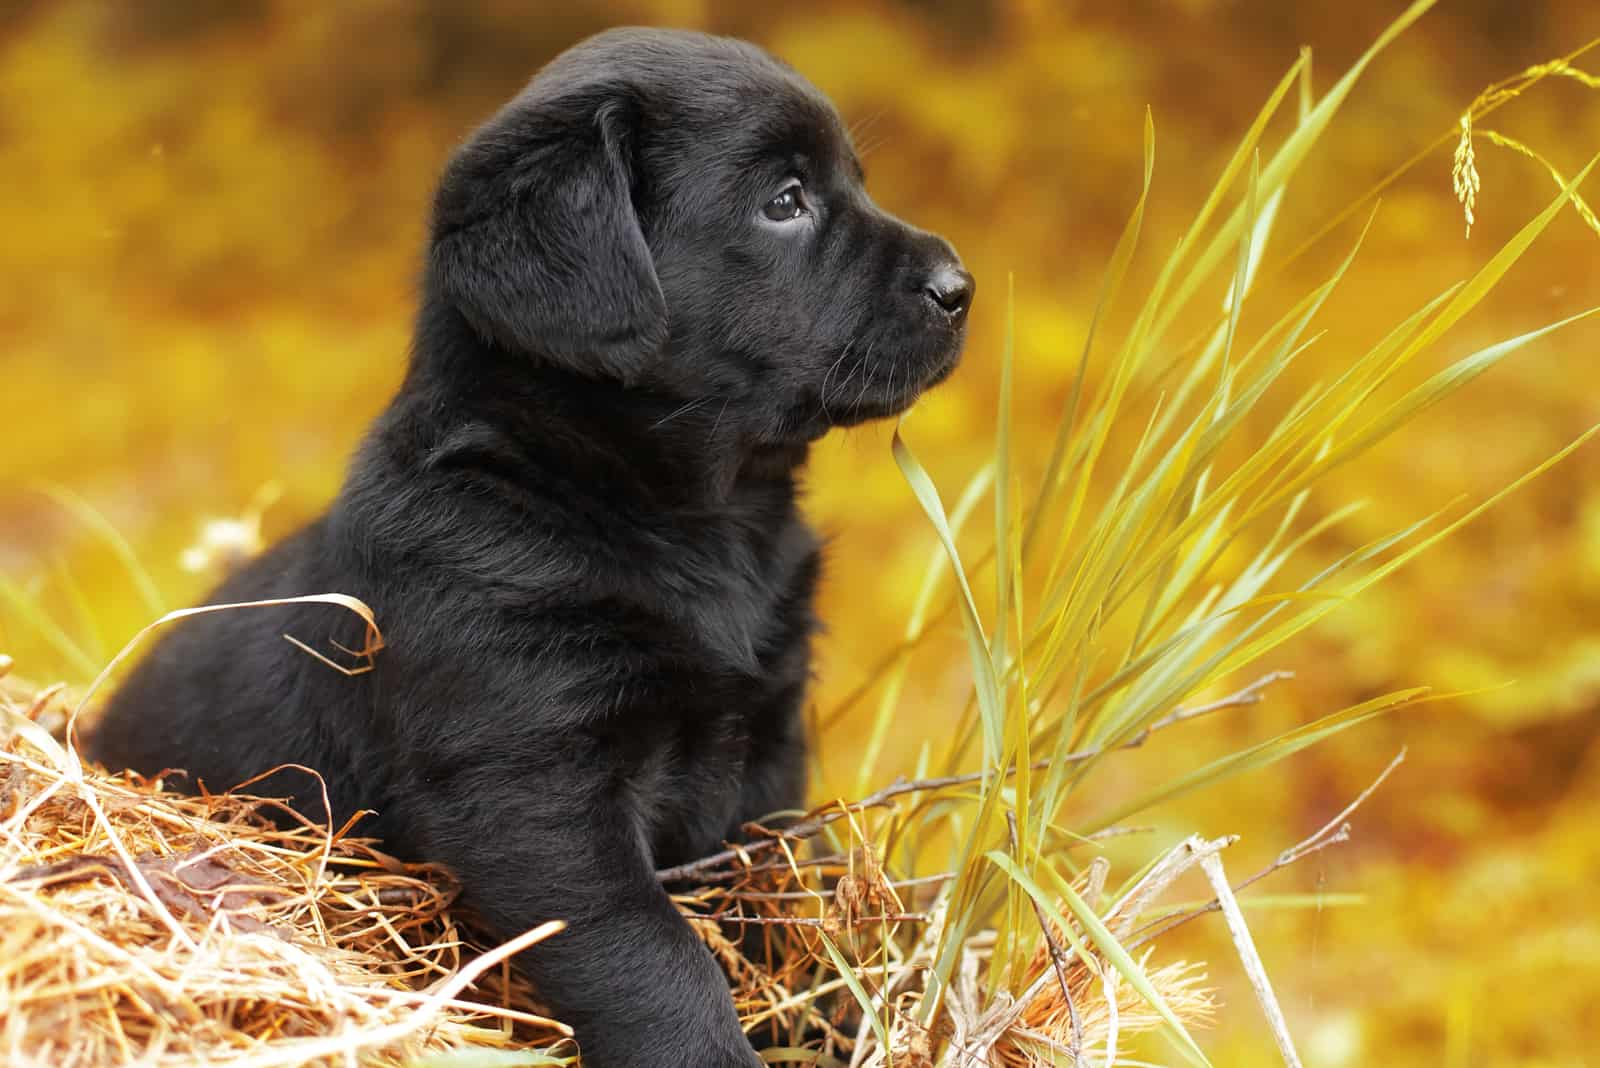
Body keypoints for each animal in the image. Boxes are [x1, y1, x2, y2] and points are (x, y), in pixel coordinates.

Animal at [93, 27, 966, 1068]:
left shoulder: (765, 752)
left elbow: (783, 906)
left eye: (852, 183)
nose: (960, 286)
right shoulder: (535, 786)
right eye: (784, 201)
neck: (685, 521)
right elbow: (654, 956)